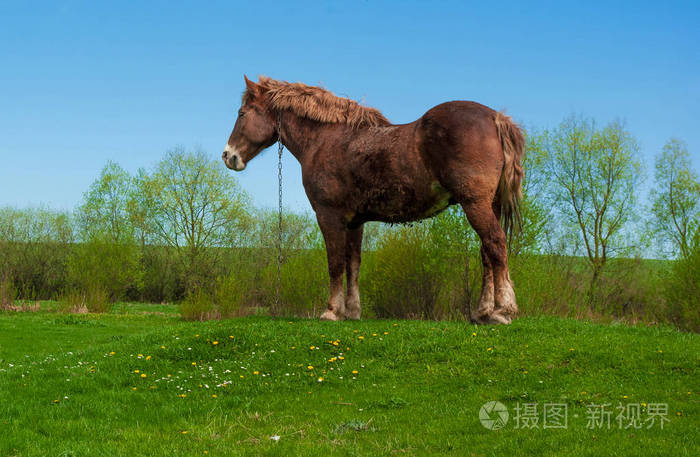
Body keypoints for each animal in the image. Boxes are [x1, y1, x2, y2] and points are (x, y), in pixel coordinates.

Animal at [221, 75, 524, 324]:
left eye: (242, 113)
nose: (228, 156)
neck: (326, 139)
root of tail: (495, 118)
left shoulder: (329, 217)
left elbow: (335, 263)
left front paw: (332, 311)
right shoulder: (355, 222)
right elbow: (353, 264)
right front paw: (353, 311)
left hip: (475, 204)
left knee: (496, 244)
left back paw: (502, 311)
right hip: (489, 205)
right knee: (487, 253)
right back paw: (483, 313)